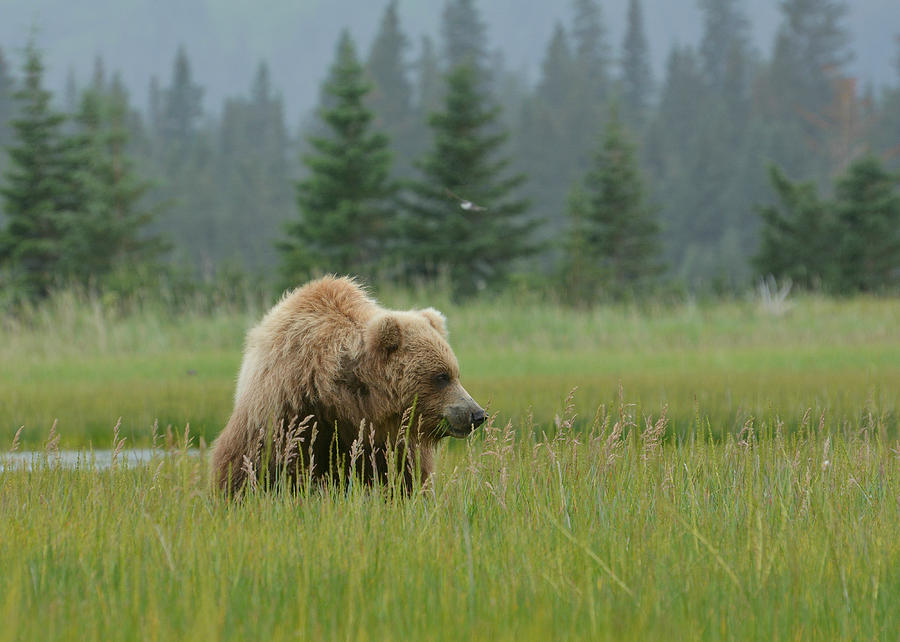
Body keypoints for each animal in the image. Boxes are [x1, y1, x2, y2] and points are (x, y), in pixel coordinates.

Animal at [210, 276, 486, 496]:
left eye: (455, 373)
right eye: (441, 376)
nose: (477, 414)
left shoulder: (388, 440)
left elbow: (404, 477)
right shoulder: (285, 410)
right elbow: (251, 464)